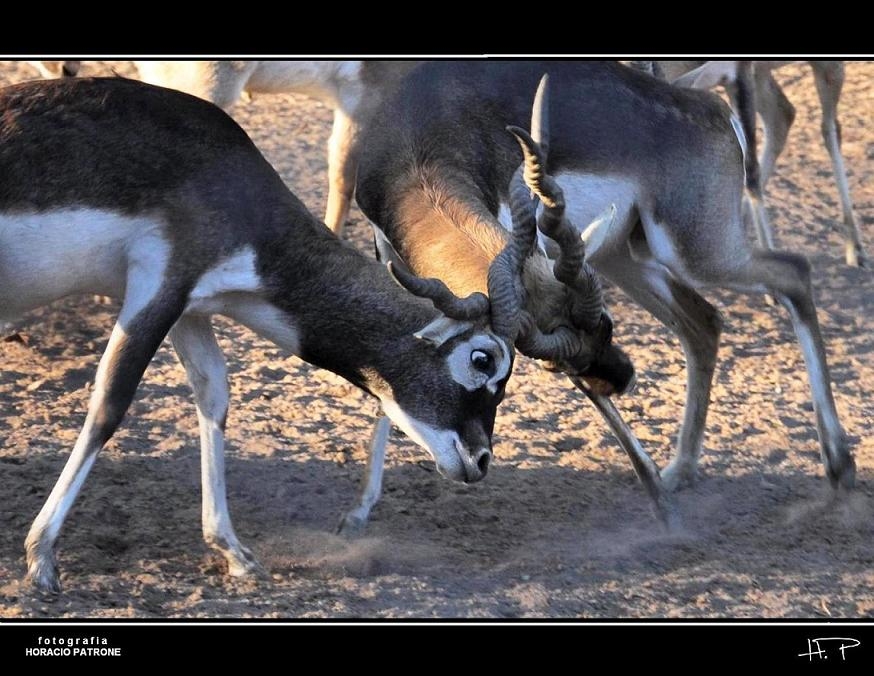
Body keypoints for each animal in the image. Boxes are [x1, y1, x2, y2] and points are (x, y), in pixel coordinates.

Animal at [652, 59, 860, 268]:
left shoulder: (738, 73)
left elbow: (750, 168)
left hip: (823, 67)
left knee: (830, 128)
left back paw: (856, 251)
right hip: (760, 74)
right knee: (782, 116)